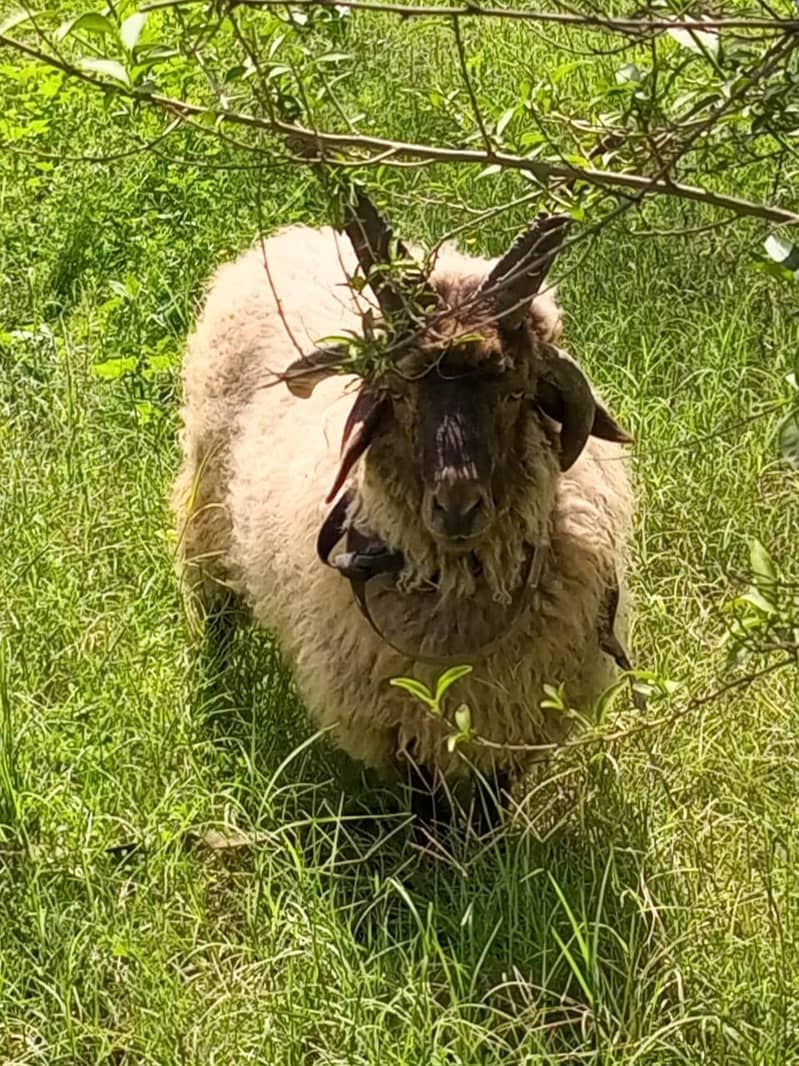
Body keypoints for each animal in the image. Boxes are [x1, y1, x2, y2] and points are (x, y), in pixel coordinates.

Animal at [172, 191, 633, 817]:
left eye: (515, 390)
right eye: (396, 392)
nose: (457, 508)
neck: (462, 587)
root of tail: (290, 238)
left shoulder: (515, 713)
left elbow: (490, 802)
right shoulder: (403, 716)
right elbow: (427, 804)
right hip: (207, 500)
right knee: (215, 599)